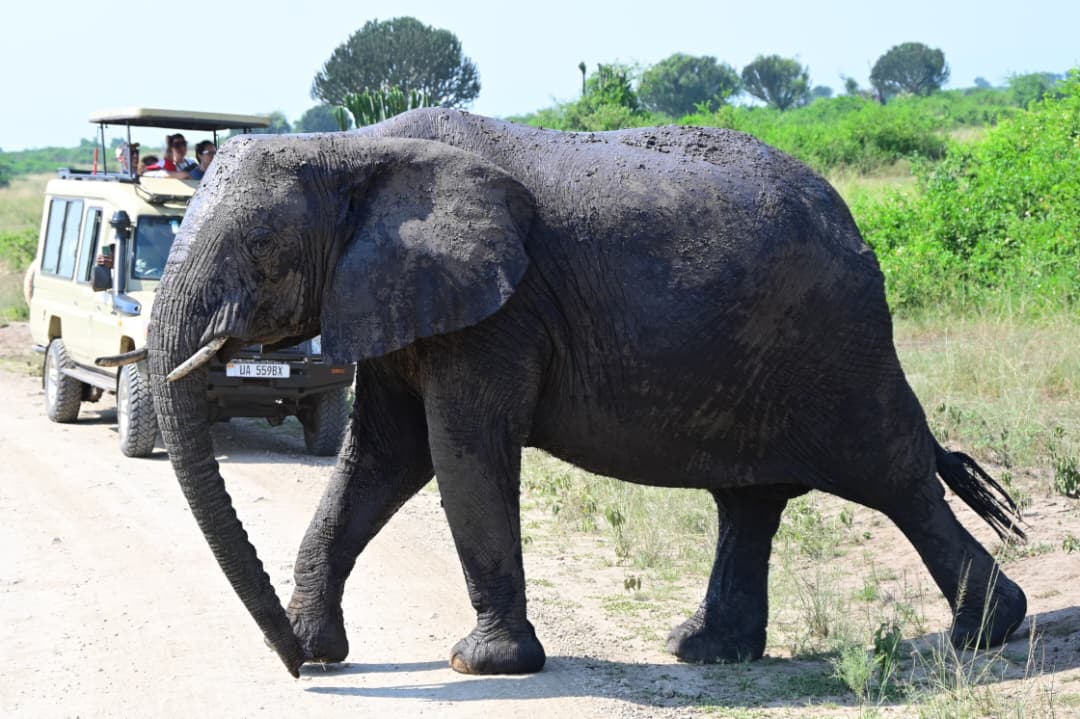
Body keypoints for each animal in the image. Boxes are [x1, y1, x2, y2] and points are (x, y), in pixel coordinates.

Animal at [146, 108, 1026, 679]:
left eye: (262, 245)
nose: (291, 667)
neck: (351, 150)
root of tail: (854, 225)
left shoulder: (498, 310)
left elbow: (458, 452)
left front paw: (484, 664)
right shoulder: (397, 297)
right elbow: (382, 458)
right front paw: (318, 647)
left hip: (838, 343)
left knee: (895, 476)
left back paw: (988, 630)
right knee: (751, 501)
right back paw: (703, 648)